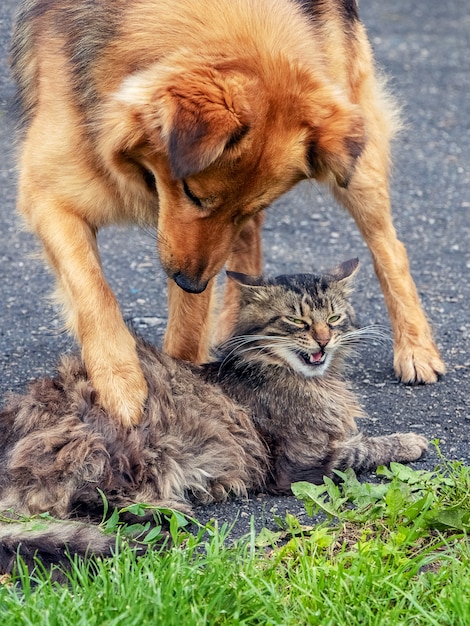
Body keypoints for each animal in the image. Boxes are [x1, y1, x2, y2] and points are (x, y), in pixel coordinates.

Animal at [0, 256, 426, 572]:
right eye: (297, 321)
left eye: (334, 319)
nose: (323, 340)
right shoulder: (301, 462)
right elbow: (365, 447)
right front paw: (410, 442)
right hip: (109, 448)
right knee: (90, 500)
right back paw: (166, 511)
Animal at [10, 0, 444, 424]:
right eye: (191, 192)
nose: (190, 282)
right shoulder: (48, 195)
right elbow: (93, 290)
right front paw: (122, 383)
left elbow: (187, 328)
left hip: (353, 155)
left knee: (389, 247)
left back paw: (416, 349)